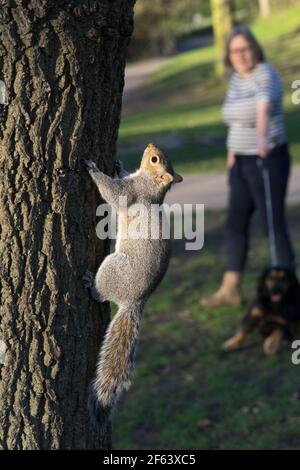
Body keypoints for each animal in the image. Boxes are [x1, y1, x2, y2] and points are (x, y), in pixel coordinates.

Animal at [82, 143, 182, 434]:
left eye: (154, 159)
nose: (150, 145)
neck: (151, 185)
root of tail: (136, 300)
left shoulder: (132, 192)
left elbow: (114, 193)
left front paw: (94, 169)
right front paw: (118, 165)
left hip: (111, 268)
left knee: (102, 292)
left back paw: (91, 285)